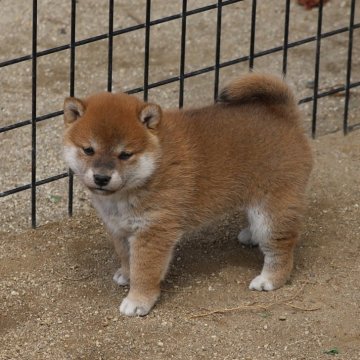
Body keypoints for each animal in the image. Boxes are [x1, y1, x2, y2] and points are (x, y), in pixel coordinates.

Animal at [62, 72, 312, 316]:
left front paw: (137, 300)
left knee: (281, 247)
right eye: (88, 150)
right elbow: (126, 256)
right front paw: (126, 273)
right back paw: (251, 235)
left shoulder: (154, 231)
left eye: (125, 154)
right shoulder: (119, 228)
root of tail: (285, 115)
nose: (101, 178)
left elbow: (145, 271)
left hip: (271, 212)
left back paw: (270, 279)